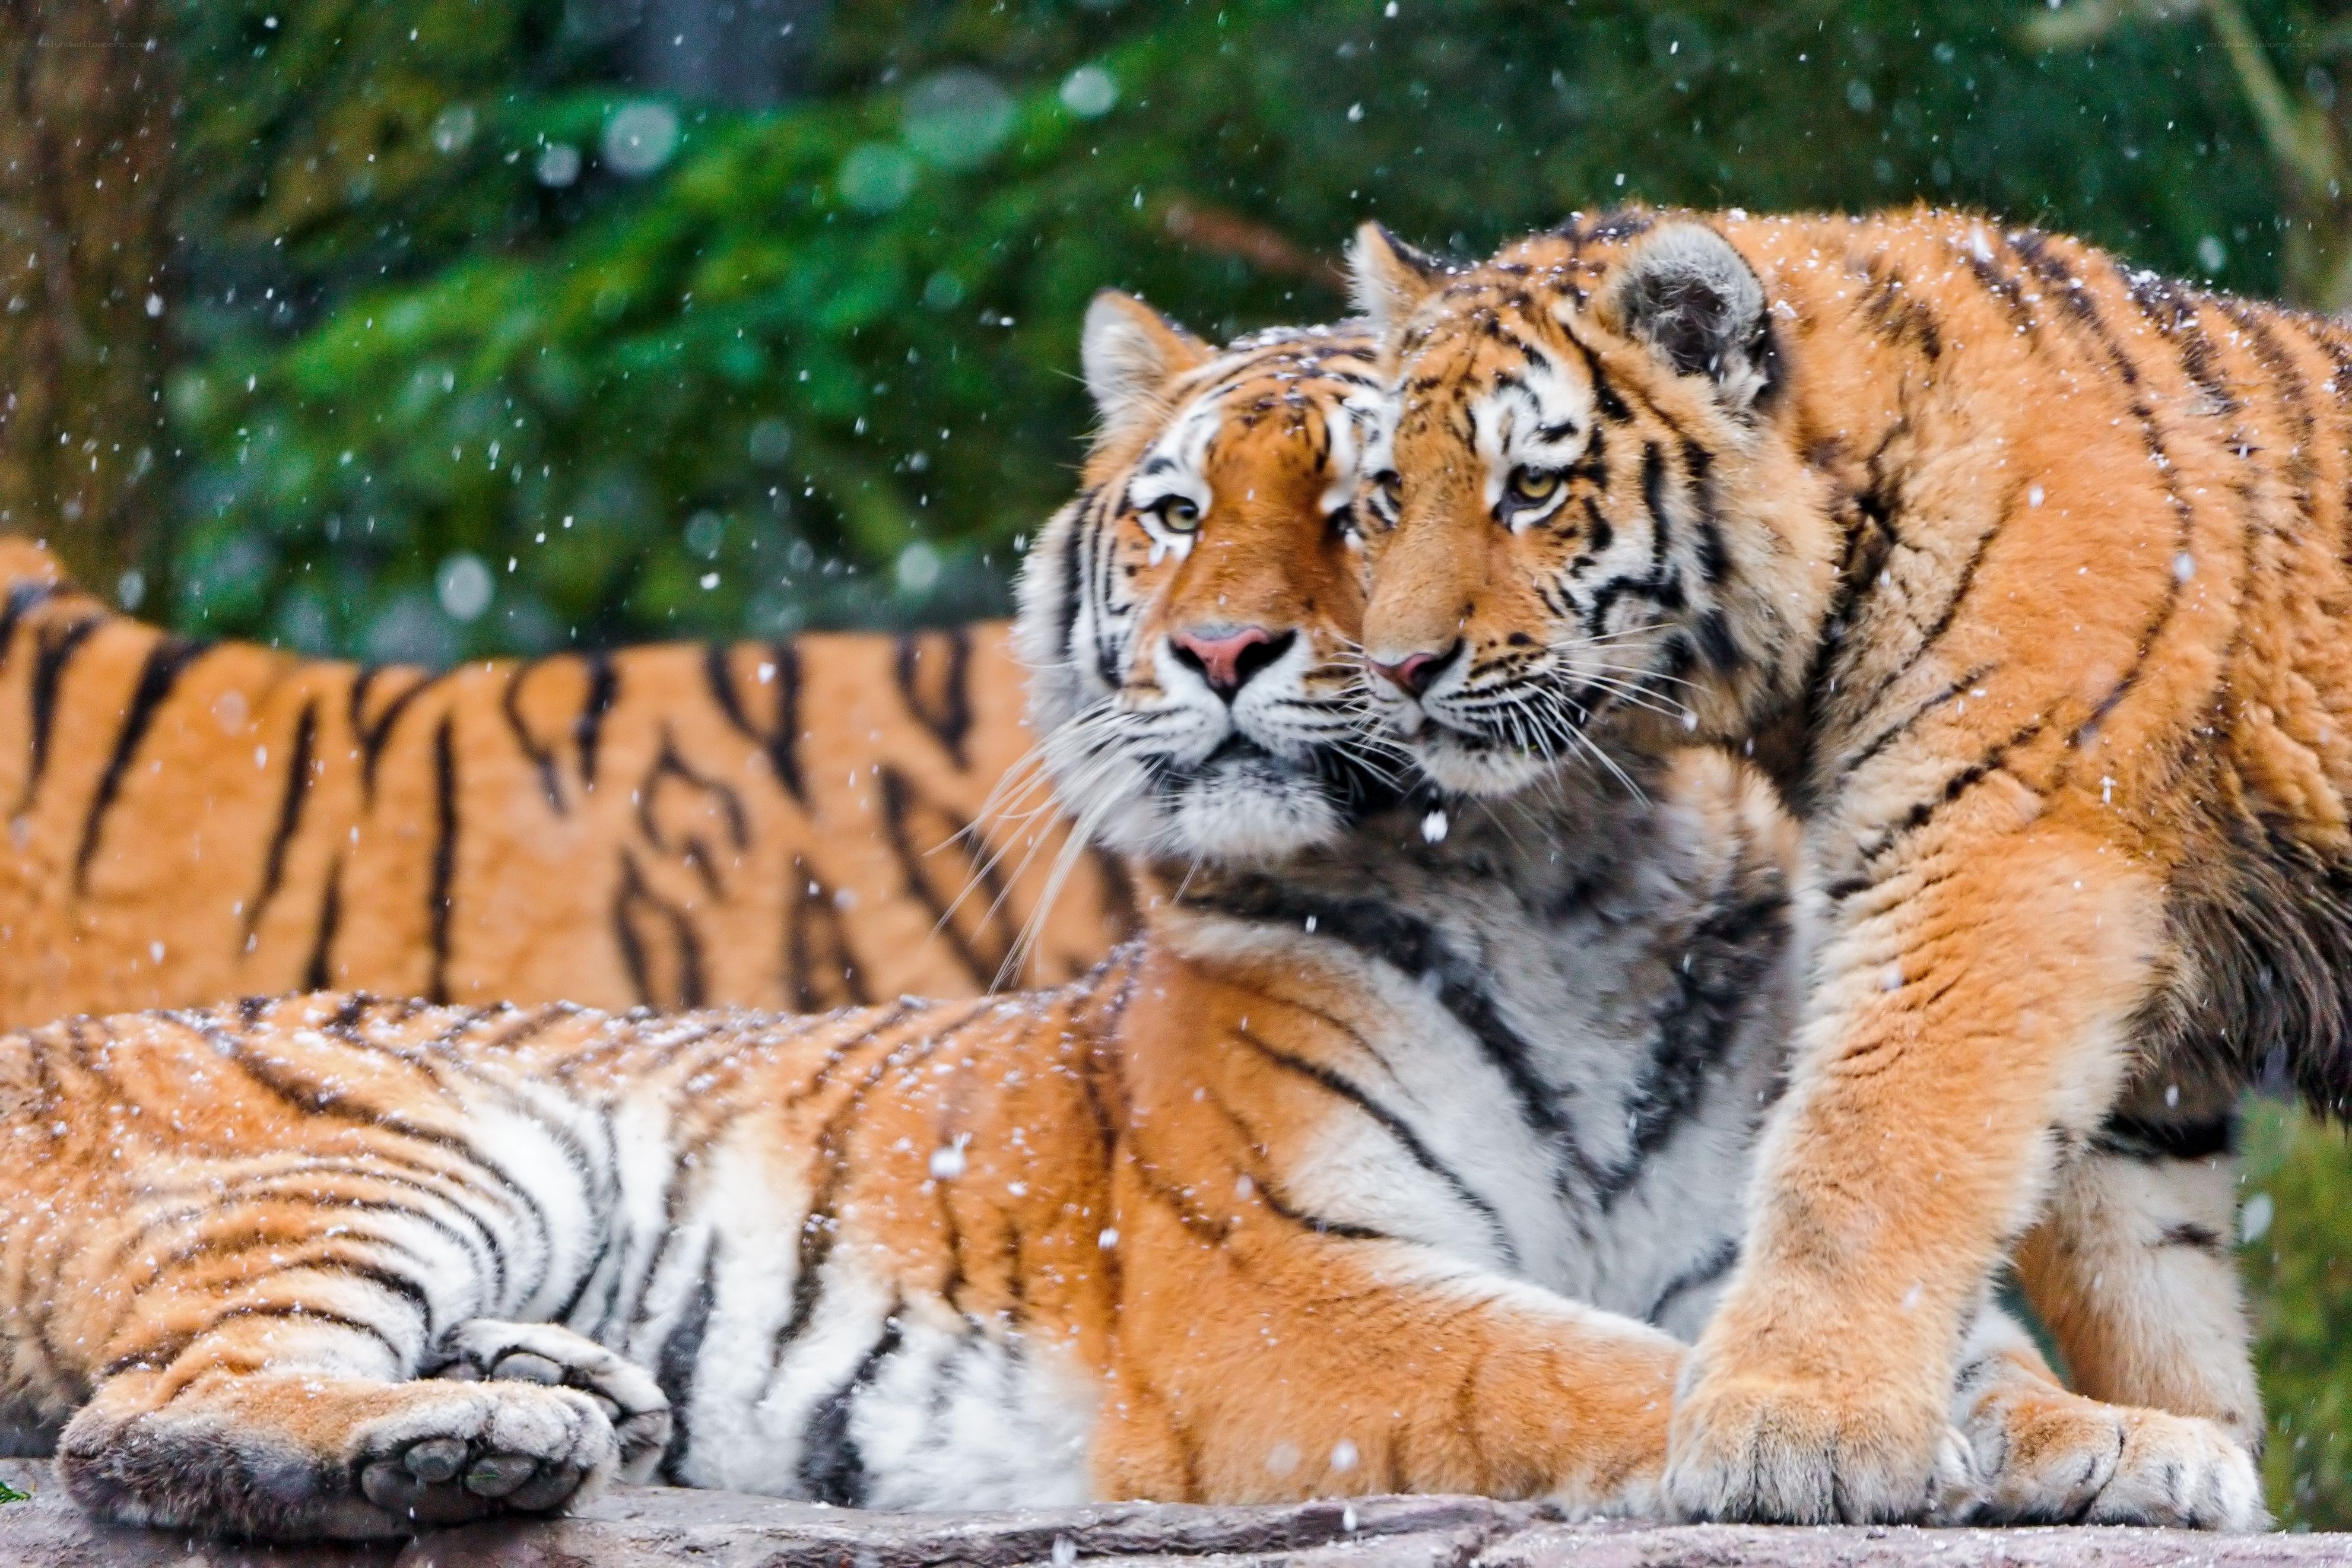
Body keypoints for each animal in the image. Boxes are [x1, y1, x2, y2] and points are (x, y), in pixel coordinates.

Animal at [1345, 205, 2316, 1527]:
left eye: (1530, 489)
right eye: (1389, 496)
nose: (1393, 669)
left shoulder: (2000, 857)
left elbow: (1865, 1147)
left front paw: (1794, 1429)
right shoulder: (2142, 998)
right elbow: (2144, 1269)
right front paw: (2176, 1449)